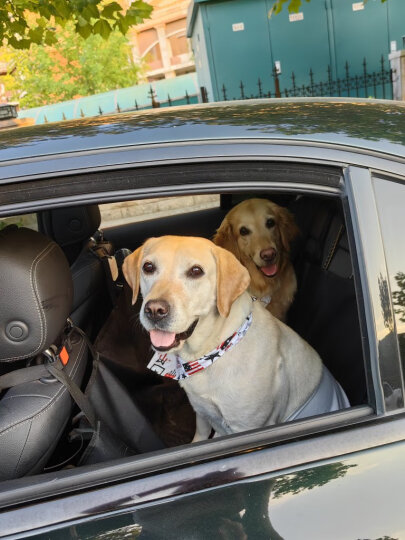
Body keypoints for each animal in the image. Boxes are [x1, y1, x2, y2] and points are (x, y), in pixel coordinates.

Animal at [122, 234, 348, 440]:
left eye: (196, 271)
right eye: (148, 267)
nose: (155, 310)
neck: (217, 347)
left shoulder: (245, 427)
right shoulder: (201, 409)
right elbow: (201, 434)